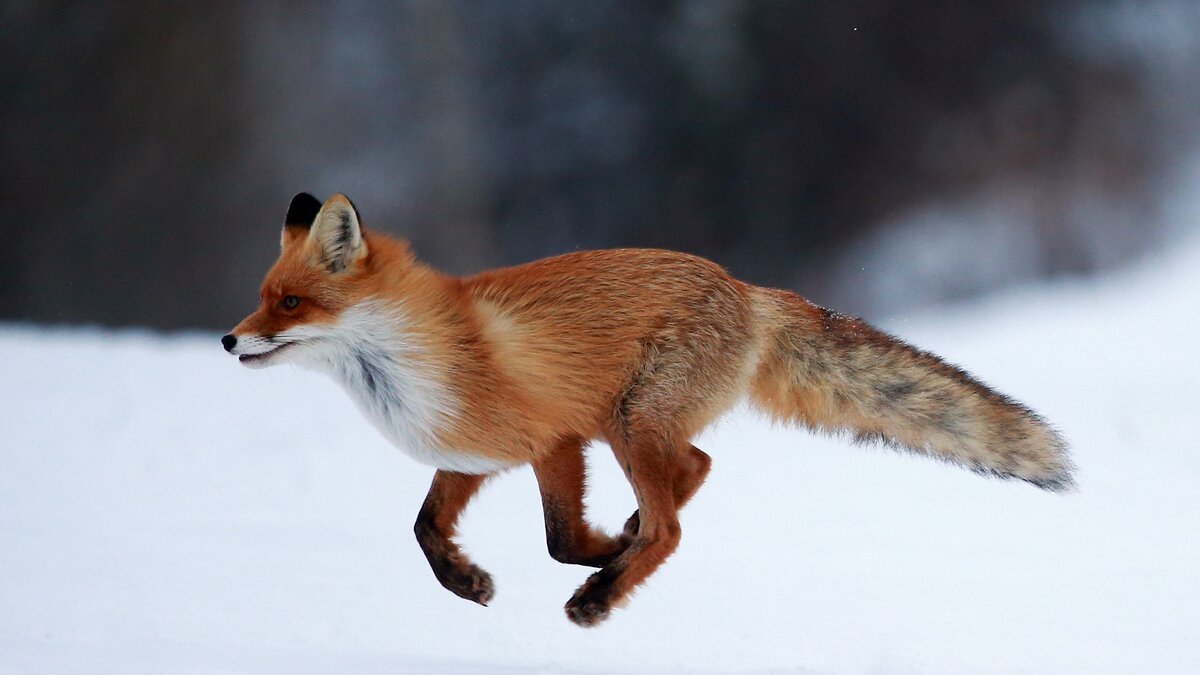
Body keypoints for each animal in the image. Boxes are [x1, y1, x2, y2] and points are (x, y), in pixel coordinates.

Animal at [223, 190, 1070, 624]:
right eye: (261, 296)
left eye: (290, 303)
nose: (230, 340)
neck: (416, 359)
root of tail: (748, 288)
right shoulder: (471, 456)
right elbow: (428, 530)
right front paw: (468, 582)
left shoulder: (554, 440)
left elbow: (562, 538)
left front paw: (599, 562)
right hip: (632, 424)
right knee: (696, 467)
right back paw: (622, 549)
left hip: (627, 423)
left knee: (673, 521)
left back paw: (603, 594)